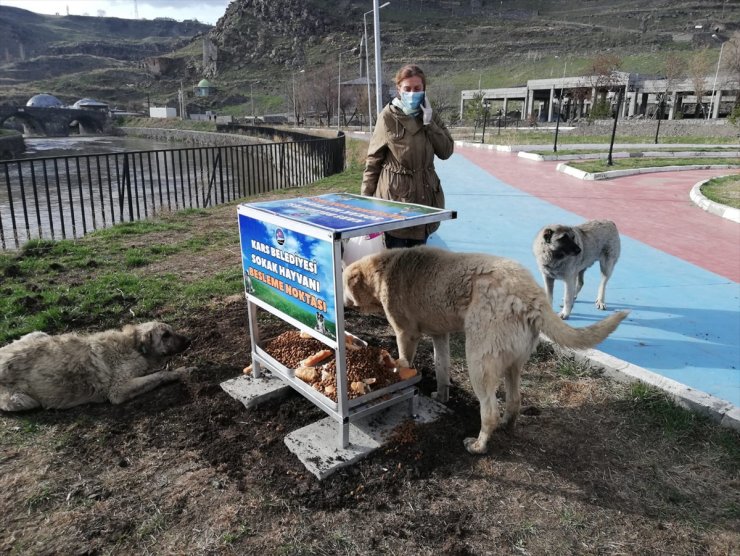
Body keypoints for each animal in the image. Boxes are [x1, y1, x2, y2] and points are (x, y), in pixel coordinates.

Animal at [0, 322, 194, 412]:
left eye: (171, 331)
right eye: (165, 335)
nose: (189, 340)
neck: (134, 345)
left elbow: (154, 373)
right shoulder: (118, 390)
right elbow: (159, 375)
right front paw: (178, 372)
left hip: (38, 333)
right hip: (20, 400)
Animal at [344, 249, 628, 456]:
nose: (343, 305)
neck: (383, 269)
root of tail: (531, 295)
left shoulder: (406, 334)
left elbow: (405, 362)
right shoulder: (440, 335)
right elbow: (441, 369)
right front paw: (441, 396)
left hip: (479, 362)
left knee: (489, 410)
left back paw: (478, 446)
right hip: (513, 364)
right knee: (514, 400)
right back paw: (507, 425)